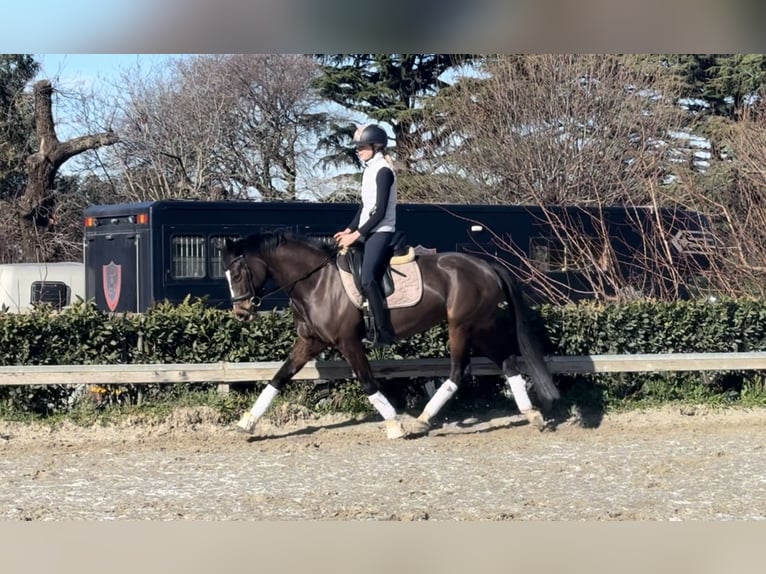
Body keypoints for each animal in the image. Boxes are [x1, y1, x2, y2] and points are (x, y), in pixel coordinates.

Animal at [221, 230, 560, 439]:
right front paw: (246, 423)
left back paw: (422, 420)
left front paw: (395, 424)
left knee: (459, 371)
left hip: (463, 327)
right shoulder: (310, 342)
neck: (315, 281)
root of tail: (487, 266)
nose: (241, 313)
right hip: (480, 328)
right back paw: (532, 415)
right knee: (508, 363)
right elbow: (278, 378)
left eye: (236, 273)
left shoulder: (348, 342)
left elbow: (368, 382)